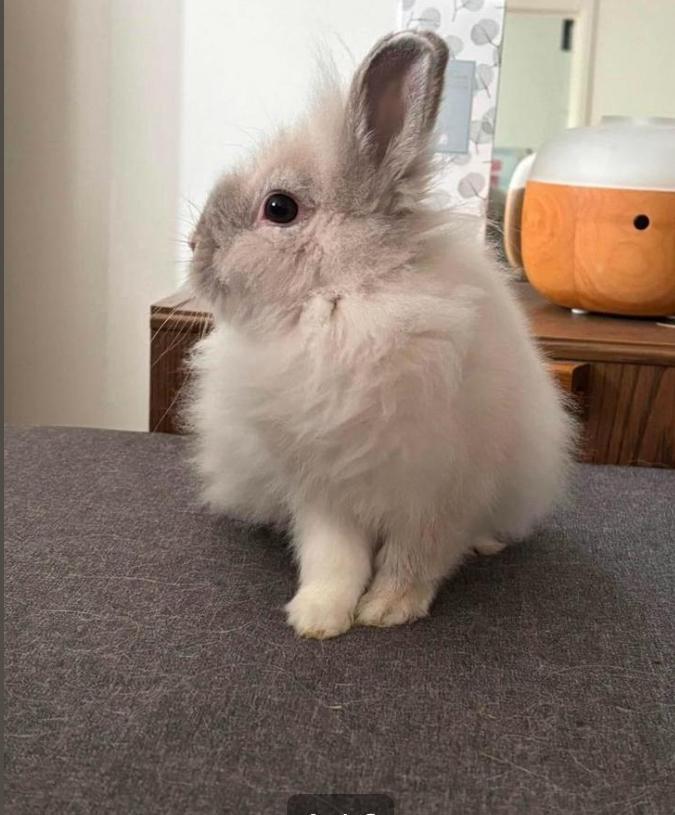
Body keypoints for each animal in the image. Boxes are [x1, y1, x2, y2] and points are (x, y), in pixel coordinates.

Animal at [185, 30, 575, 639]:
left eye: (279, 208)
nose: (194, 246)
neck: (343, 300)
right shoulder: (322, 489)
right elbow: (333, 558)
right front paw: (318, 617)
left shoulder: (441, 492)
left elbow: (414, 559)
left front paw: (389, 610)